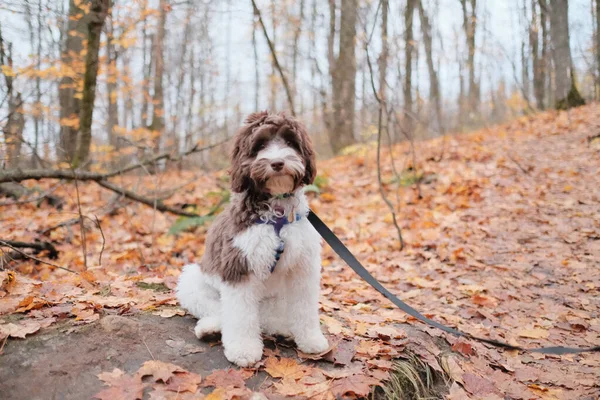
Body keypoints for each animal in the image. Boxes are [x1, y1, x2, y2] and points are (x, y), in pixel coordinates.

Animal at [176, 111, 330, 368]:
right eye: (260, 145)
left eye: (290, 142)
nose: (277, 163)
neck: (277, 211)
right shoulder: (239, 265)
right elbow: (240, 315)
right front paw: (243, 349)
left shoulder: (304, 269)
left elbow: (305, 308)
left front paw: (311, 339)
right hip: (192, 280)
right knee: (219, 310)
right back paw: (211, 328)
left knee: (269, 318)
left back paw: (282, 329)